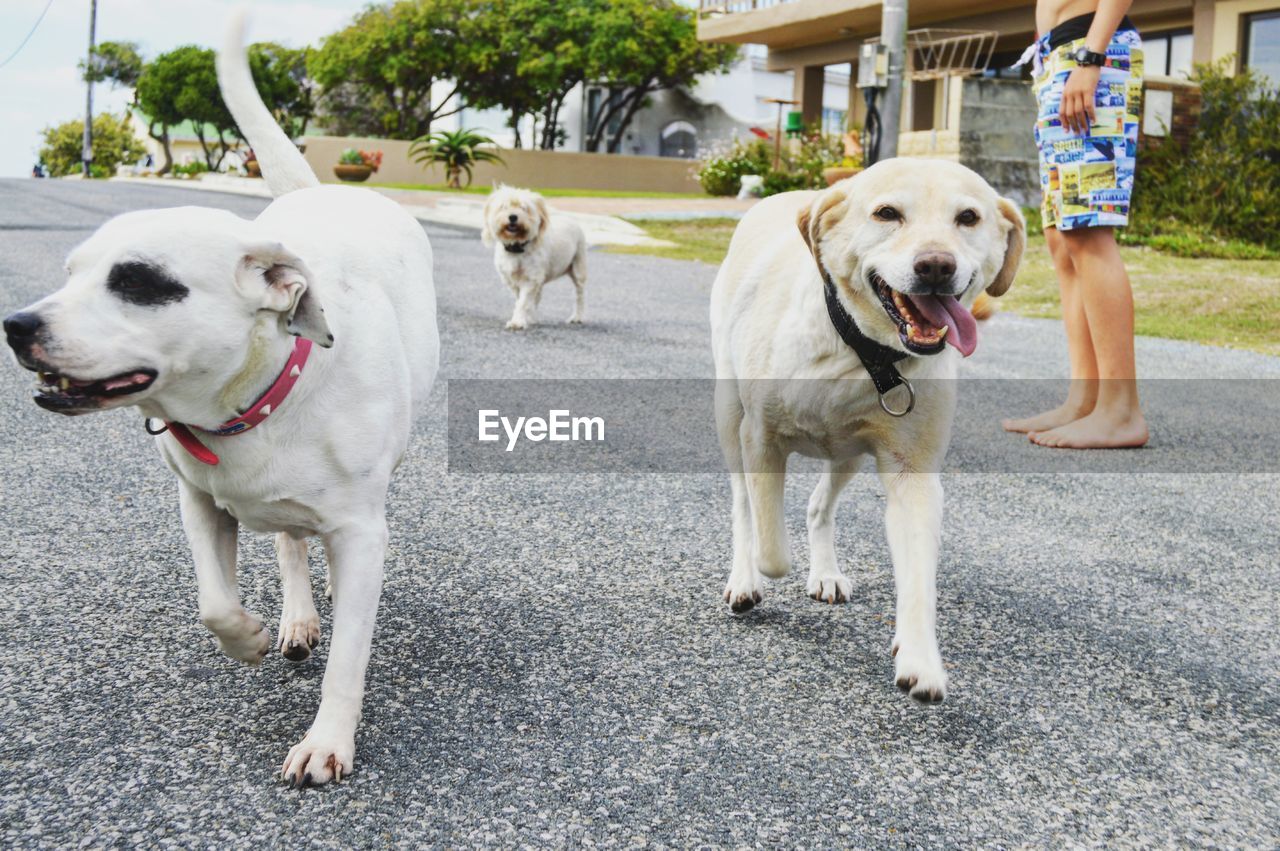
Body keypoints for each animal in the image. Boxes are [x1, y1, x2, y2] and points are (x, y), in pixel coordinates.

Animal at [2, 13, 437, 788]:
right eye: (71, 273)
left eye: (138, 281)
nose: (17, 326)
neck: (255, 400)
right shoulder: (200, 501)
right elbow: (213, 602)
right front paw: (251, 637)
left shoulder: (361, 530)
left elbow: (349, 657)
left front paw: (327, 740)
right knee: (291, 542)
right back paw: (295, 618)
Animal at [481, 184, 586, 330]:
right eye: (504, 207)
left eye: (524, 208)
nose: (513, 217)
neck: (517, 248)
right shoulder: (512, 280)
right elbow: (522, 300)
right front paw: (527, 318)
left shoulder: (531, 279)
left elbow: (523, 302)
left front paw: (517, 322)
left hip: (578, 268)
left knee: (579, 295)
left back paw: (577, 317)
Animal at [711, 159, 1018, 701]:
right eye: (887, 213)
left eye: (968, 217)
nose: (936, 266)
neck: (862, 353)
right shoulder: (759, 438)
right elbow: (772, 548)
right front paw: (764, 568)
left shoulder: (912, 473)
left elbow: (918, 578)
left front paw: (919, 658)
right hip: (729, 414)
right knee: (743, 506)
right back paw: (744, 580)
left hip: (849, 455)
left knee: (819, 506)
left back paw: (826, 572)